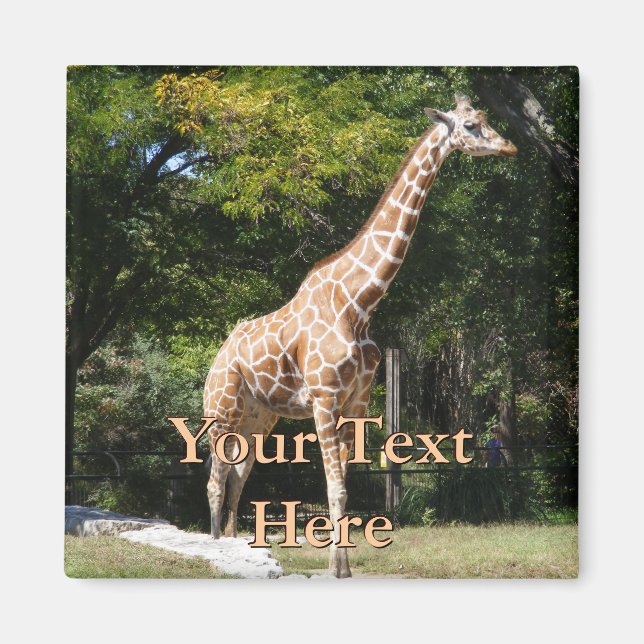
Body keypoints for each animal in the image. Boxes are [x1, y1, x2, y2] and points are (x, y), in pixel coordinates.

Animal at [203, 93, 517, 578]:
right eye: (470, 126)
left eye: (485, 119)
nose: (510, 147)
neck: (359, 302)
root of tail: (219, 355)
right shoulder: (324, 398)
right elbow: (335, 488)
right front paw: (340, 568)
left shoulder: (356, 401)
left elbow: (347, 485)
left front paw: (340, 567)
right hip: (220, 411)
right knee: (215, 479)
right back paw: (218, 547)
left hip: (259, 416)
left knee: (237, 476)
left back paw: (240, 545)